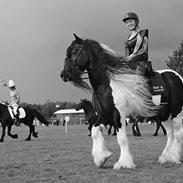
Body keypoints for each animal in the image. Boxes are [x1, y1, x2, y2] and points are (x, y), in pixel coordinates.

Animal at [60, 34, 183, 169]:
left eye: (74, 51)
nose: (63, 74)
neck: (106, 85)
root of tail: (178, 76)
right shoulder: (104, 115)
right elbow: (94, 131)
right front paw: (102, 158)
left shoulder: (118, 115)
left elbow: (122, 138)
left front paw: (124, 163)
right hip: (163, 114)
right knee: (170, 134)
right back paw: (166, 157)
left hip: (176, 112)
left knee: (178, 133)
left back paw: (174, 157)